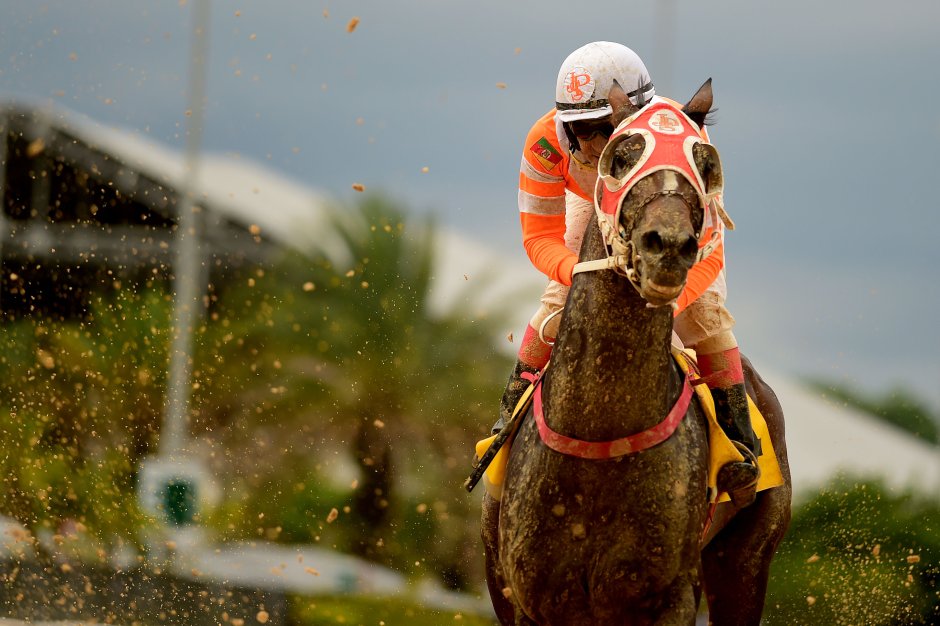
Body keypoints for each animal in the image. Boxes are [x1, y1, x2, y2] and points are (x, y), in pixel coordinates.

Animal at [480, 80, 792, 625]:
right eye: (622, 154)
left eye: (704, 162)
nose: (666, 246)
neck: (600, 434)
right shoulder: (530, 599)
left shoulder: (668, 595)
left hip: (745, 563)